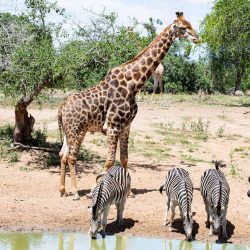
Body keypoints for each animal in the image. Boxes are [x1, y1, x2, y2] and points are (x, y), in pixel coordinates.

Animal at [57, 11, 198, 200]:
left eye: (190, 24)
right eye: (183, 28)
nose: (197, 38)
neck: (133, 84)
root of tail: (61, 108)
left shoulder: (126, 126)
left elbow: (124, 158)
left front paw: (128, 191)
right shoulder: (112, 126)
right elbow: (110, 160)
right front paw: (97, 186)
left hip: (68, 131)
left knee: (63, 155)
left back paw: (62, 189)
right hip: (77, 130)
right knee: (72, 157)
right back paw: (75, 192)